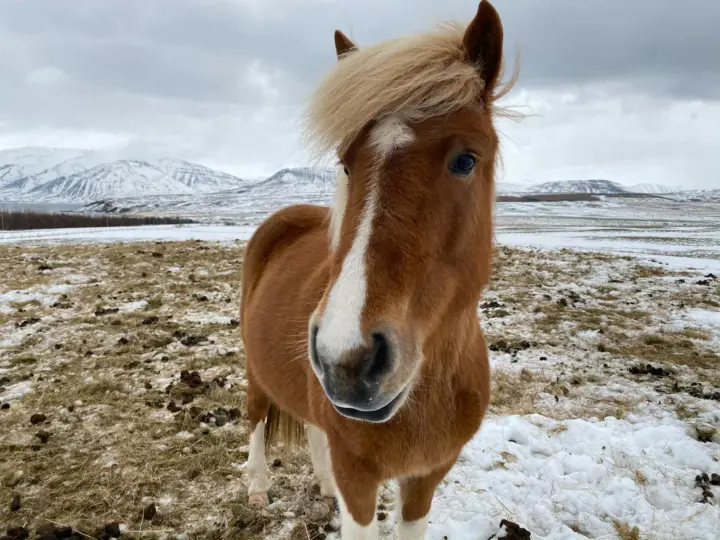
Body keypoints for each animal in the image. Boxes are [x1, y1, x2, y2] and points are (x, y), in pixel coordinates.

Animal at [240, 1, 515, 537]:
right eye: (347, 163)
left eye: (466, 160)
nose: (346, 359)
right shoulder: (360, 478)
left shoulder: (427, 479)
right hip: (256, 371)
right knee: (257, 416)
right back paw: (258, 487)